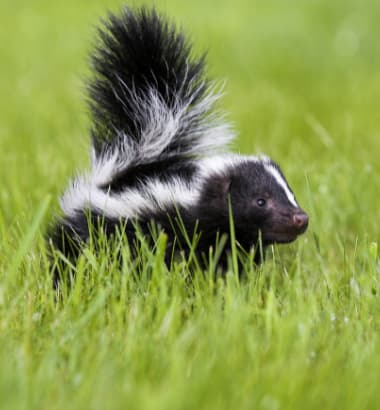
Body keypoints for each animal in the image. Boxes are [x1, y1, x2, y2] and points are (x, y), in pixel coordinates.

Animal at [49, 5, 308, 278]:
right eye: (260, 201)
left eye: (290, 193)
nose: (300, 218)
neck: (195, 196)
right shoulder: (167, 224)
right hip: (89, 225)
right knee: (71, 251)